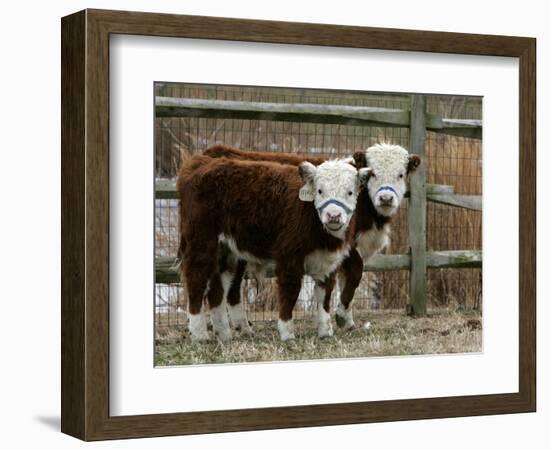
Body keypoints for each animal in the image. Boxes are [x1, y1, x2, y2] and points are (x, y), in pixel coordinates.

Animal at [179, 155, 370, 342]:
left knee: (217, 289)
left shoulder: (328, 260)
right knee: (196, 278)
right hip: (202, 241)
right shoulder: (289, 255)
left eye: (350, 192)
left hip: (228, 252)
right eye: (320, 190)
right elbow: (291, 289)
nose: (333, 216)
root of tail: (200, 163)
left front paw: (325, 332)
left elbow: (325, 294)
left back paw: (225, 334)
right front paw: (287, 333)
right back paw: (200, 335)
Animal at [203, 144, 422, 330]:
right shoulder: (347, 245)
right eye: (373, 173)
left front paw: (347, 320)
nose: (386, 198)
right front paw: (341, 317)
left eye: (401, 174)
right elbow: (355, 272)